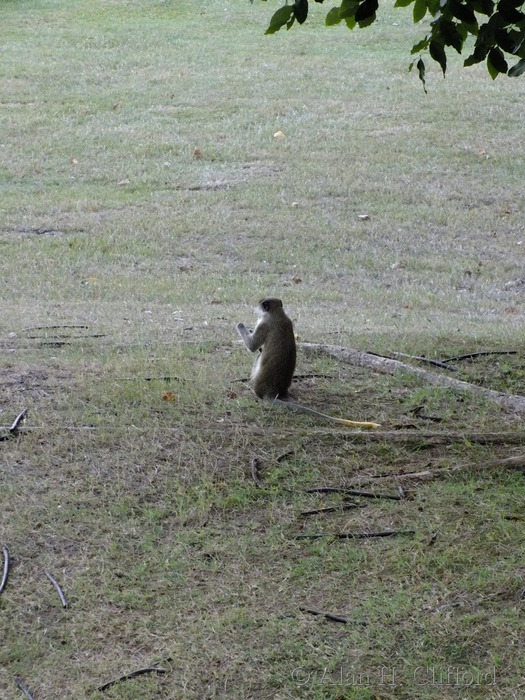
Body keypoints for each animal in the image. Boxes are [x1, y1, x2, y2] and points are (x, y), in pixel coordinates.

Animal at [236, 298, 380, 429]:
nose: (255, 309)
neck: (278, 313)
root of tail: (273, 392)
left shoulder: (264, 324)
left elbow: (252, 346)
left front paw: (240, 325)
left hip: (258, 383)